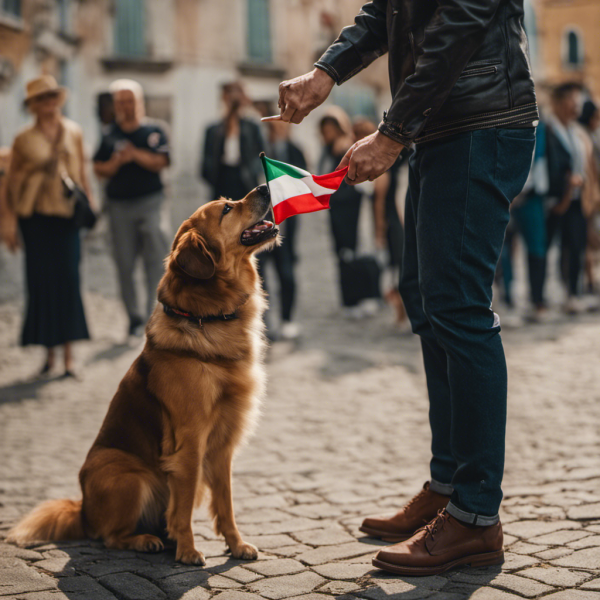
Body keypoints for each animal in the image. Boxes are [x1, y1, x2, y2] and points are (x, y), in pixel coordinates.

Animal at [8, 185, 278, 564]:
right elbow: (183, 507)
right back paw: (145, 540)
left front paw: (236, 544)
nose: (265, 187)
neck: (209, 317)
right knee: (110, 537)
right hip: (129, 474)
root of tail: (83, 510)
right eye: (226, 209)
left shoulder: (223, 444)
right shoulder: (190, 441)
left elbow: (225, 503)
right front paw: (188, 550)